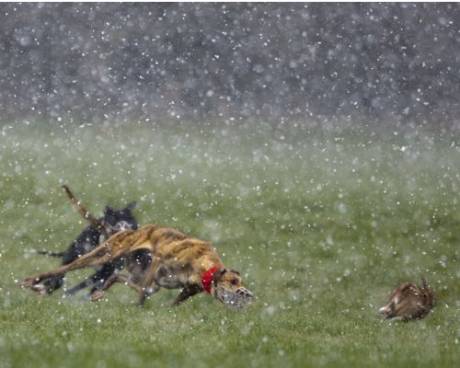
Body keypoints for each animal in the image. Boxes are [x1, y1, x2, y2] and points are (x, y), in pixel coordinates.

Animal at [21, 224, 253, 308]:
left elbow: (173, 303)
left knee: (116, 277)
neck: (204, 264)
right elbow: (144, 291)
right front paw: (139, 307)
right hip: (105, 253)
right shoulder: (160, 260)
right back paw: (32, 281)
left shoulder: (187, 288)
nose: (247, 293)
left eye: (241, 281)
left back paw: (98, 293)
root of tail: (134, 229)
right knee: (65, 268)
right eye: (233, 281)